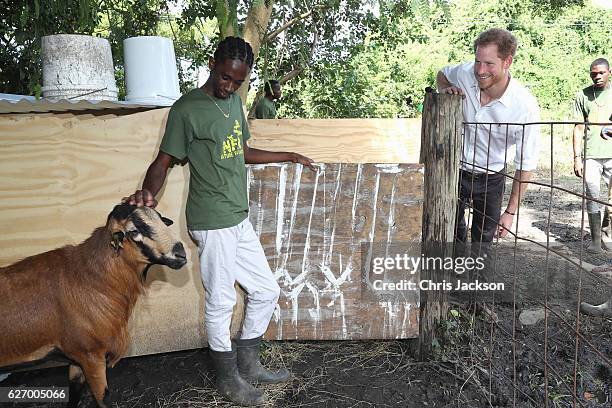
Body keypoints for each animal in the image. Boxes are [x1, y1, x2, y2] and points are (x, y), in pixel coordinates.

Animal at [0, 202, 186, 406]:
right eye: (133, 231)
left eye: (160, 219)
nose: (181, 254)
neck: (94, 278)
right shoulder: (90, 355)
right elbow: (103, 398)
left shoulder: (75, 358)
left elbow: (74, 391)